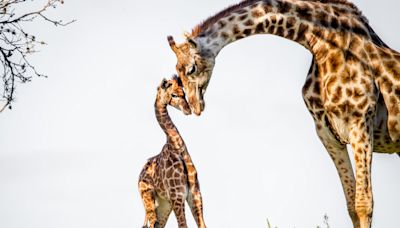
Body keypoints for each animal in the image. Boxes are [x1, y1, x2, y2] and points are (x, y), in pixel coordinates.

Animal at [139, 76, 206, 228]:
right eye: (173, 95)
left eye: (184, 93)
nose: (188, 110)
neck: (176, 147)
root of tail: (139, 176)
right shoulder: (177, 196)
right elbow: (183, 225)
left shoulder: (195, 194)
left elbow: (202, 225)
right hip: (148, 199)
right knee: (150, 224)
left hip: (163, 205)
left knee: (157, 224)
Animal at [167, 0, 400, 228]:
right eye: (176, 72)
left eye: (191, 69)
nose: (194, 106)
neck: (321, 44)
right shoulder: (329, 135)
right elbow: (352, 206)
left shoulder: (360, 123)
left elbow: (363, 204)